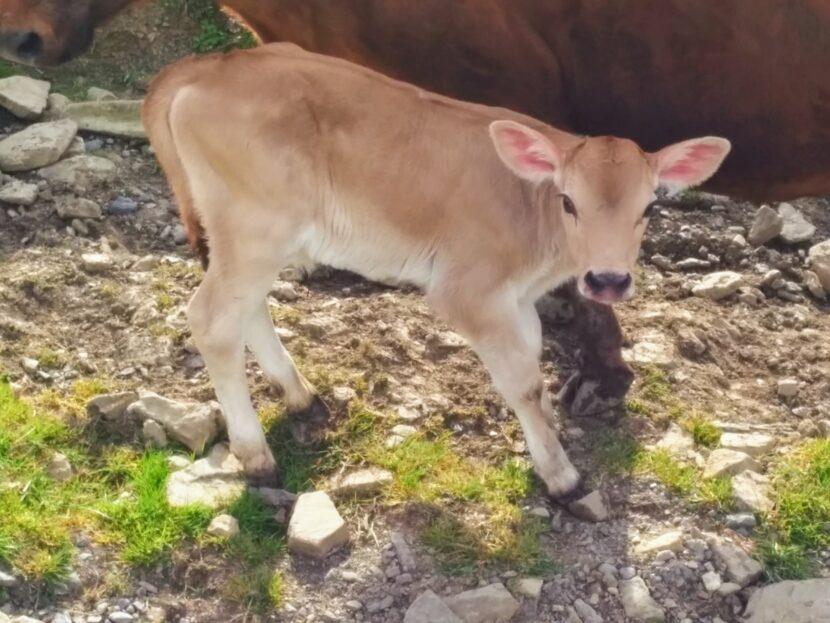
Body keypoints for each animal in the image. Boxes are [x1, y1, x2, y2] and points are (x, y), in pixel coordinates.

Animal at [146, 44, 732, 500]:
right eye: (568, 201)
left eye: (649, 207)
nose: (607, 280)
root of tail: (209, 66)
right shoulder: (466, 292)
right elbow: (520, 382)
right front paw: (561, 475)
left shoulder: (518, 299)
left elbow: (533, 369)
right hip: (254, 227)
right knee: (211, 318)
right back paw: (256, 456)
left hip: (256, 239)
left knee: (248, 308)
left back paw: (300, 395)